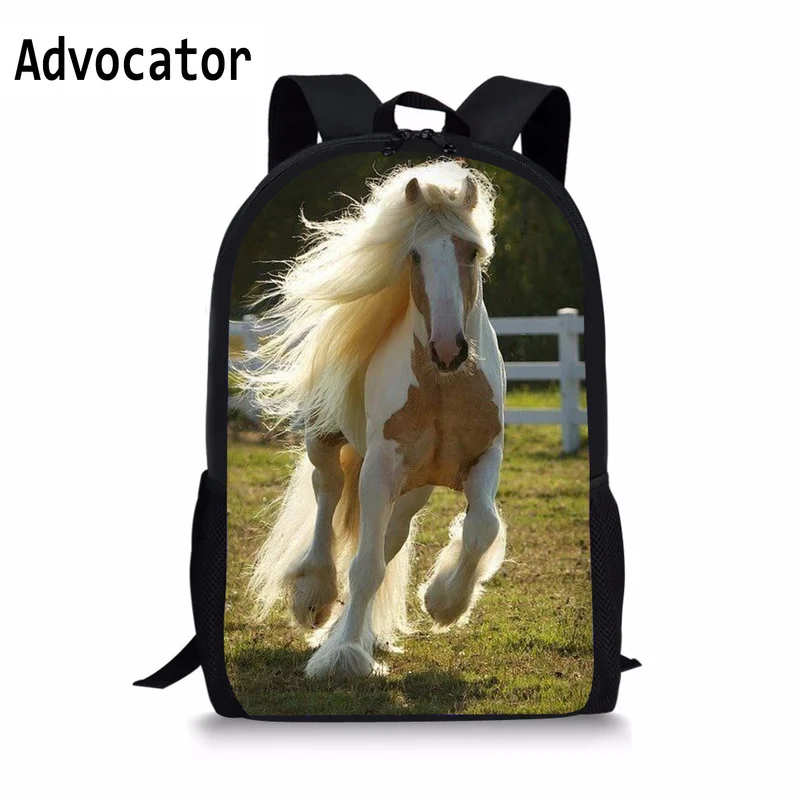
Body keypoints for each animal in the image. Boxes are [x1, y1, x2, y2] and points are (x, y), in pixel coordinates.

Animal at [244, 159, 507, 678]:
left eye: (471, 252)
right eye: (415, 255)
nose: (448, 349)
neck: (443, 387)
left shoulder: (485, 456)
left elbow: (482, 528)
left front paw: (443, 602)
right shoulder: (381, 467)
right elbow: (364, 567)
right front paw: (343, 655)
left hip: (412, 489)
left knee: (389, 538)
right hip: (328, 443)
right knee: (327, 495)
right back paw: (315, 598)